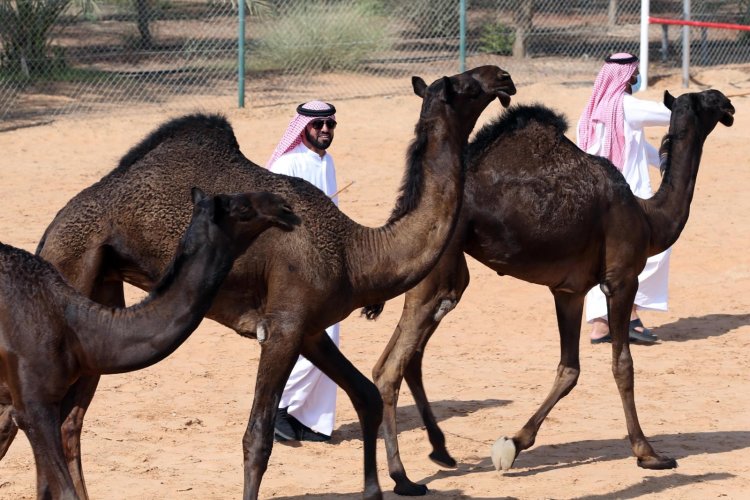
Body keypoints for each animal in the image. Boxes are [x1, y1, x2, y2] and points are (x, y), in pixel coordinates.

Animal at [366, 88, 740, 494]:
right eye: (710, 100)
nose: (730, 105)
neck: (648, 217)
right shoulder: (622, 278)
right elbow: (622, 365)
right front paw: (649, 453)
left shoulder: (569, 291)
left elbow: (569, 368)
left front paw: (512, 444)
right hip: (442, 274)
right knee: (391, 368)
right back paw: (403, 477)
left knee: (400, 360)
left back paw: (439, 452)